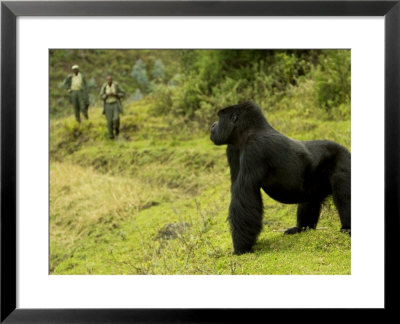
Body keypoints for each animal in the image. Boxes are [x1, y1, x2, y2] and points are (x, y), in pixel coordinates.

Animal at [209, 102, 350, 256]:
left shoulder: (254, 149)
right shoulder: (232, 149)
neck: (248, 132)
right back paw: (302, 228)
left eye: (219, 117)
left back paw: (347, 228)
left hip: (343, 159)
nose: (212, 125)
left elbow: (245, 195)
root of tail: (345, 149)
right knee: (311, 197)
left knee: (343, 195)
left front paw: (241, 248)